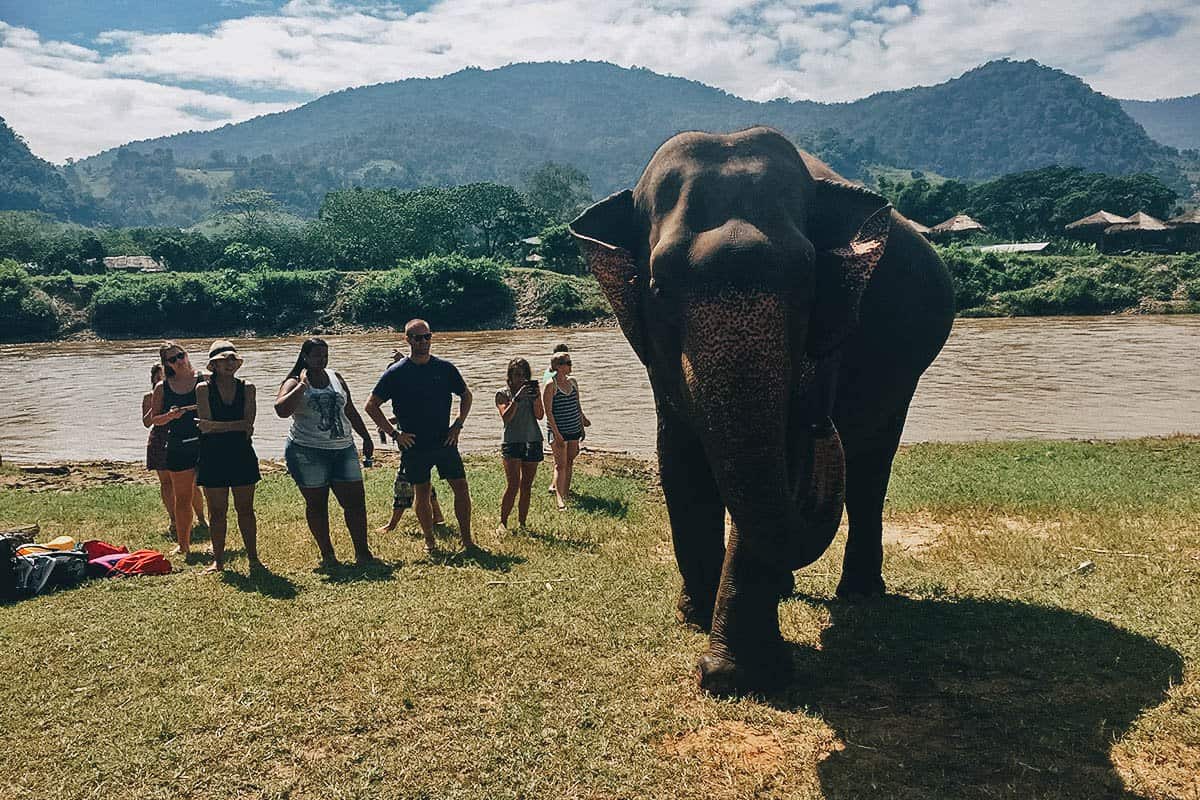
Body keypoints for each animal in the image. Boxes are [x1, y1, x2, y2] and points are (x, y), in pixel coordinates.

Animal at [571, 125, 955, 695]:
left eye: (808, 280)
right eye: (658, 288)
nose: (820, 422)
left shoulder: (831, 335)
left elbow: (785, 458)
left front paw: (737, 675)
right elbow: (679, 455)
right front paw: (695, 618)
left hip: (905, 371)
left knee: (870, 469)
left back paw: (859, 594)